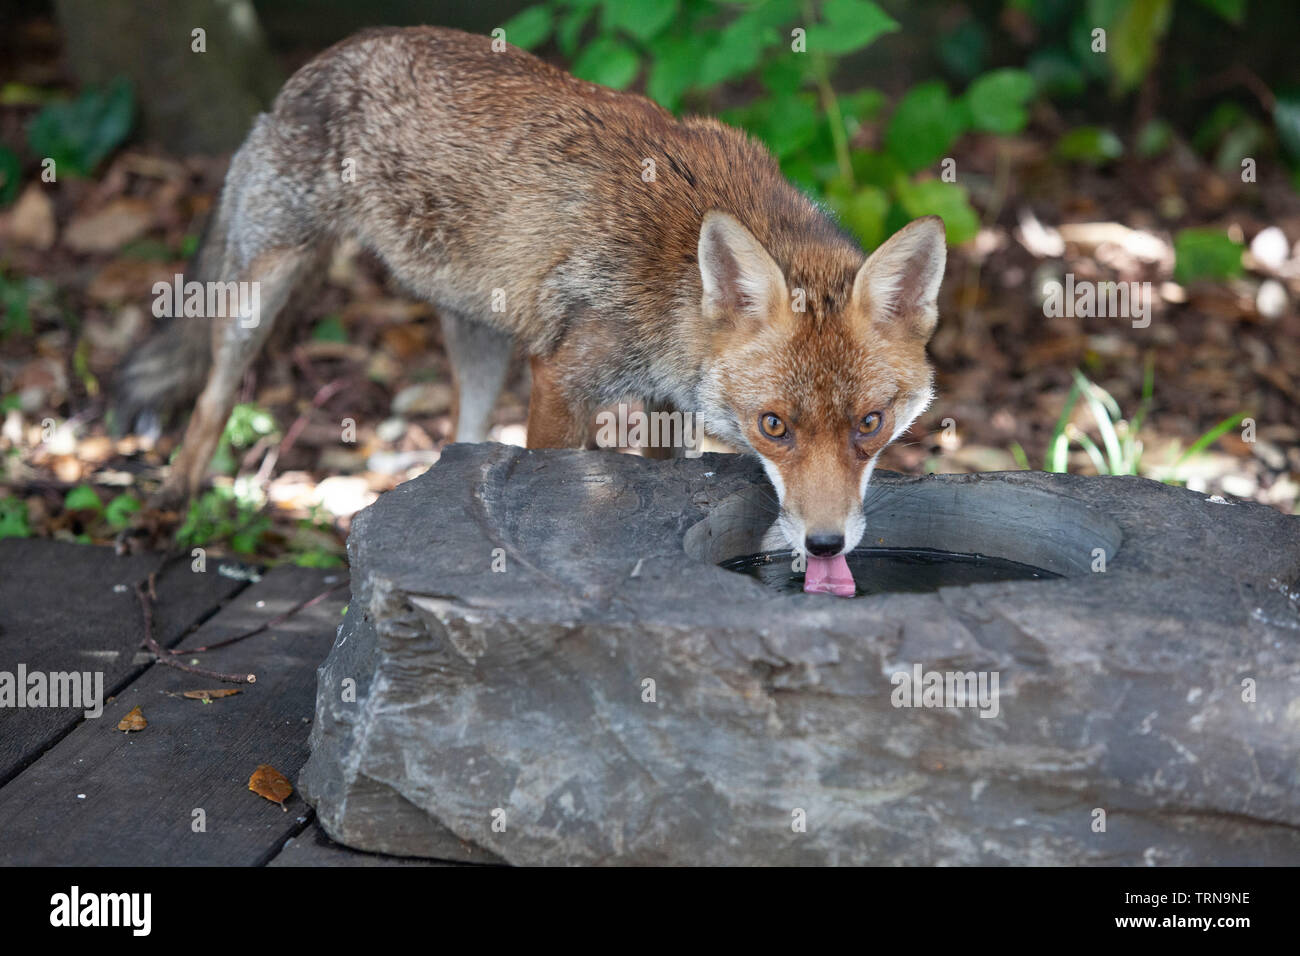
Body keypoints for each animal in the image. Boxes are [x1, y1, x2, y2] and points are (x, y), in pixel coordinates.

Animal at [111, 24, 946, 561]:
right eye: (774, 426)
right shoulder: (565, 379)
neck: (675, 280)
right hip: (266, 288)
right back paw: (173, 498)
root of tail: (330, 54)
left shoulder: (664, 403)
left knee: (461, 437)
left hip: (477, 337)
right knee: (213, 395)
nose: (826, 545)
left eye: (870, 424)